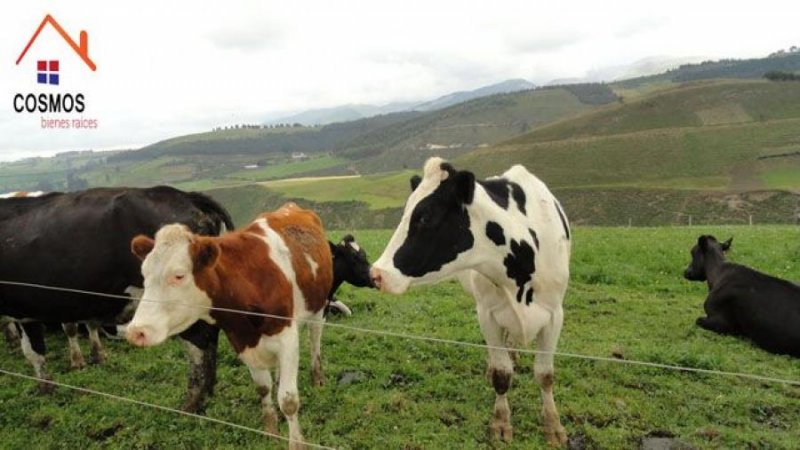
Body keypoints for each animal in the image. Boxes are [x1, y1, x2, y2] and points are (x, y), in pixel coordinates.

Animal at [1, 185, 234, 410]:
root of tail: (184, 195)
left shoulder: (22, 310)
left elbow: (33, 351)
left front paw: (46, 387)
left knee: (199, 344)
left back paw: (193, 402)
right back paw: (207, 393)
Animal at [127, 203, 332, 446]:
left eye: (179, 275)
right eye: (144, 274)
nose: (136, 331)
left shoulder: (287, 338)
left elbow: (288, 400)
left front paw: (297, 443)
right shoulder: (242, 340)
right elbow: (263, 388)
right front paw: (271, 432)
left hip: (318, 306)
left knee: (315, 337)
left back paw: (318, 377)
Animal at [372, 156, 572, 444]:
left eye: (425, 217)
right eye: (405, 213)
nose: (377, 273)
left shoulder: (555, 314)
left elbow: (545, 375)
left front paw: (553, 426)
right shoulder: (487, 314)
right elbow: (501, 374)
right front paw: (501, 422)